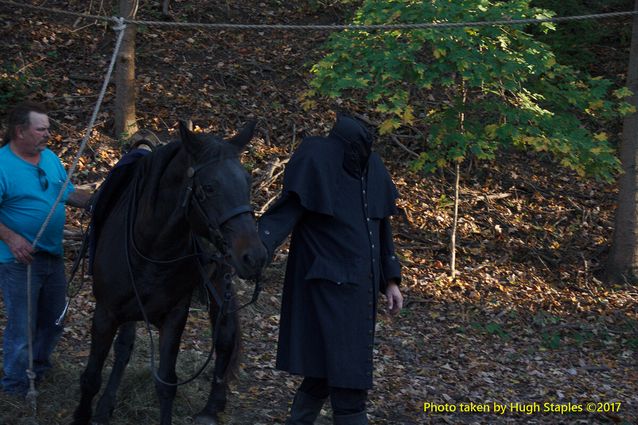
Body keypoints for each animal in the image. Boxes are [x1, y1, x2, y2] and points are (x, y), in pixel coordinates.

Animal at [72, 120, 268, 424]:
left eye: (247, 183)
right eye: (209, 187)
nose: (255, 256)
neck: (152, 246)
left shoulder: (174, 317)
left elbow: (166, 383)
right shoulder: (106, 312)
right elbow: (92, 376)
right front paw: (89, 413)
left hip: (219, 280)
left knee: (224, 338)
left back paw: (212, 408)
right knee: (124, 346)